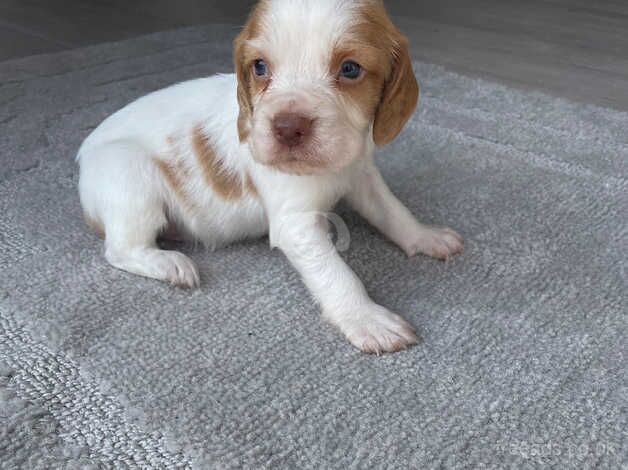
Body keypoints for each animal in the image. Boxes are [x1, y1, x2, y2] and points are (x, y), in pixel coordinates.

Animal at [77, 0, 462, 352]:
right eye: (260, 67)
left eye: (350, 69)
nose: (288, 127)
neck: (331, 168)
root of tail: (82, 158)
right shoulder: (297, 225)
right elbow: (338, 275)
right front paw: (367, 319)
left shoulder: (362, 175)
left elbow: (394, 212)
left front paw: (425, 236)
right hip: (130, 175)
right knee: (121, 249)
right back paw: (169, 263)